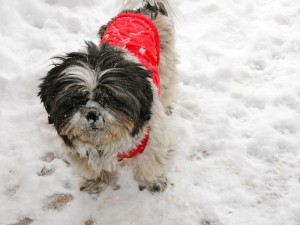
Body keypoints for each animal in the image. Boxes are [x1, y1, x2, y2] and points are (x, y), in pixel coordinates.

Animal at [37, 0, 178, 193]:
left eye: (109, 99)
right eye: (76, 100)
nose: (92, 113)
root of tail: (143, 10)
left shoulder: (153, 138)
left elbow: (150, 161)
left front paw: (153, 181)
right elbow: (91, 166)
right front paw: (96, 181)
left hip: (166, 65)